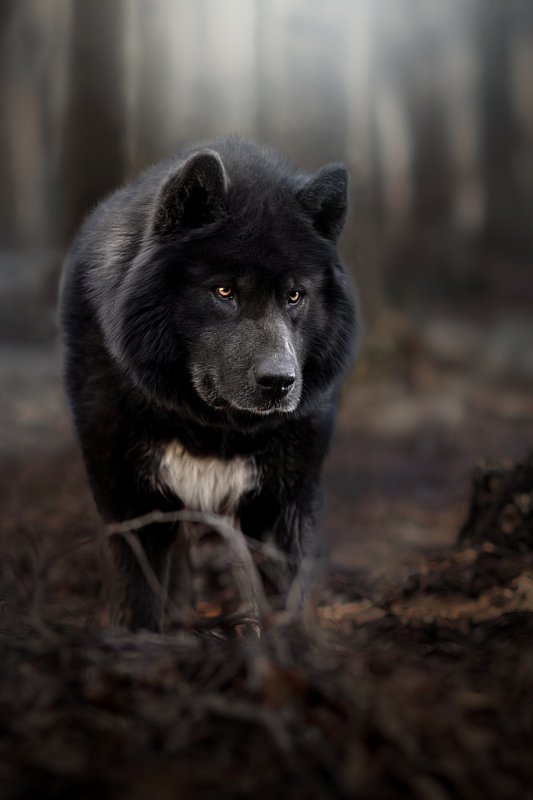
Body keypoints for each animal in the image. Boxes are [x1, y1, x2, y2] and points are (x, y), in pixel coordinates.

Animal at [59, 138, 357, 631]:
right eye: (224, 292)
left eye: (294, 295)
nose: (280, 381)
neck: (213, 429)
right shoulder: (129, 500)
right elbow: (137, 598)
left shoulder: (284, 504)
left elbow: (285, 599)